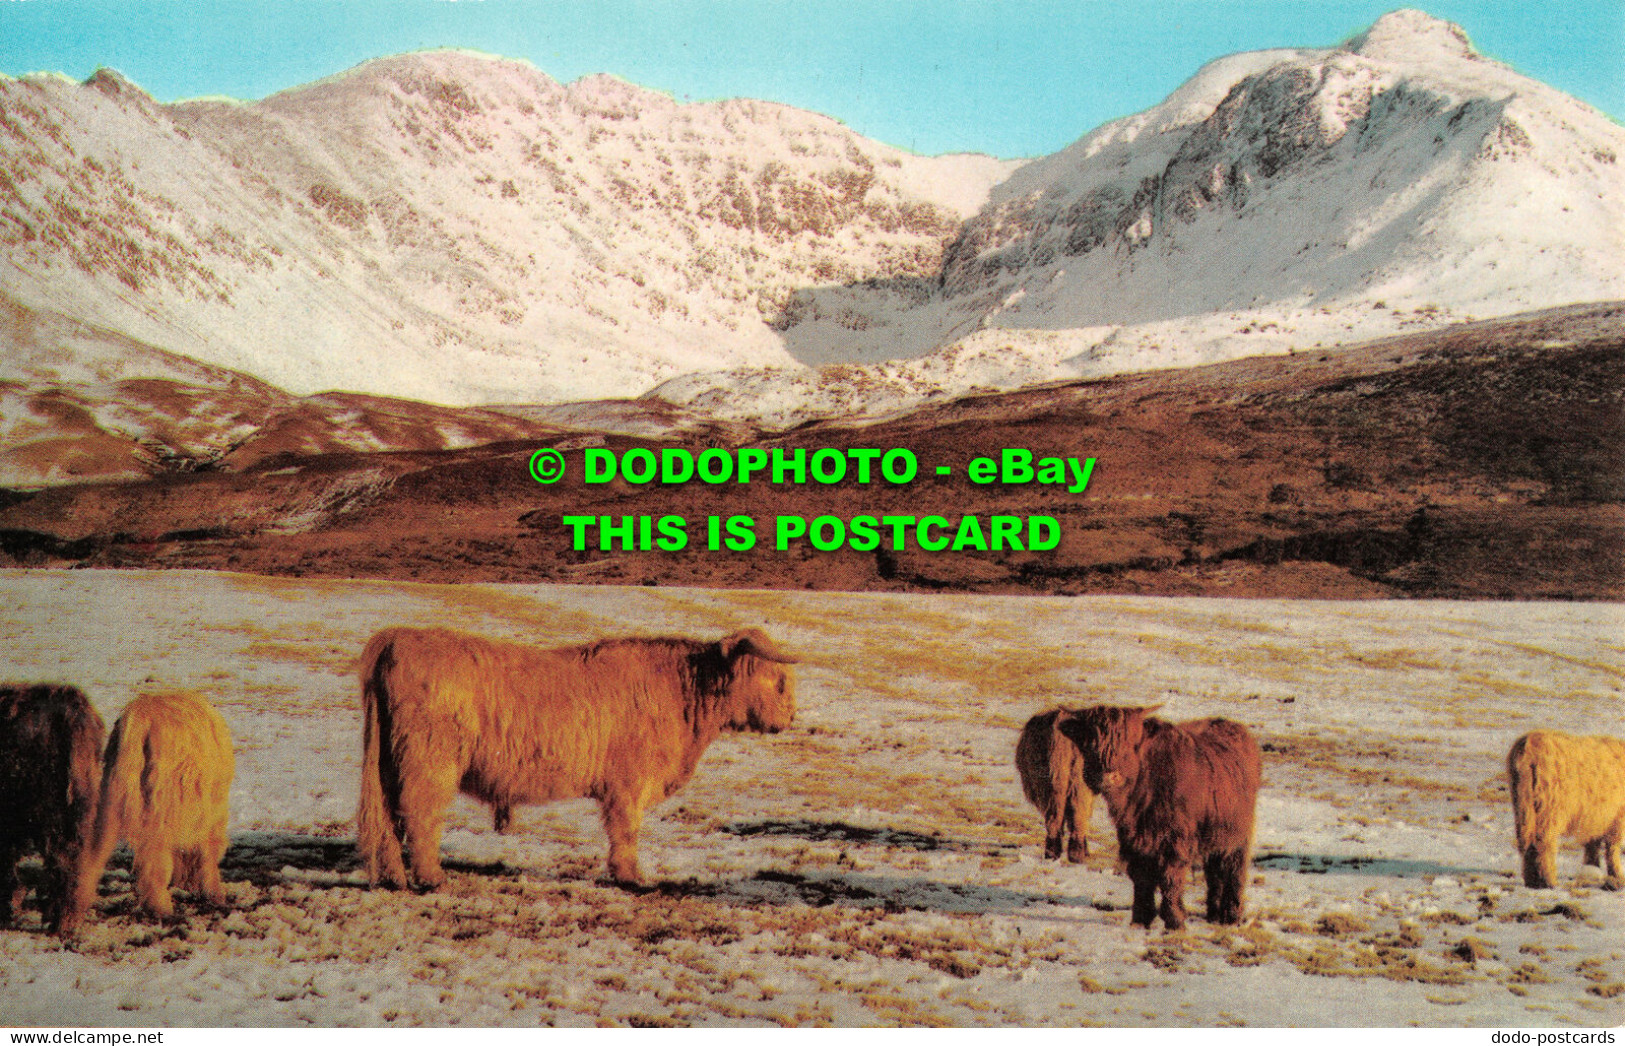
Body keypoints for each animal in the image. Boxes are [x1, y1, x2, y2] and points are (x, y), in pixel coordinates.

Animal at [77, 691, 237, 922]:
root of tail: (140, 712)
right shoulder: (213, 811)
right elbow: (209, 851)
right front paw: (214, 892)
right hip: (161, 802)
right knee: (155, 854)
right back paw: (161, 907)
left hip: (111, 792)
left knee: (96, 849)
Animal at [1014, 708, 1105, 864]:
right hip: (1077, 783)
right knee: (1077, 816)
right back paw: (1077, 854)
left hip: (1052, 785)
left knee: (1055, 818)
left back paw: (1053, 854)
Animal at [1059, 708, 1261, 929]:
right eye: (1089, 743)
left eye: (1127, 743)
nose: (1106, 777)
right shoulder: (1134, 839)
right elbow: (1141, 877)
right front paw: (1141, 919)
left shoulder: (1175, 839)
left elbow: (1170, 876)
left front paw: (1175, 919)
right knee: (1214, 872)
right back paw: (1214, 914)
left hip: (1238, 835)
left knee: (1235, 870)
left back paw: (1232, 916)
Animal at [1501, 727, 1618, 890]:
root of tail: (1528, 745)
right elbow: (1612, 847)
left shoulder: (1595, 818)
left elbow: (1593, 846)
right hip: (1549, 805)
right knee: (1543, 842)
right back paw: (1549, 881)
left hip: (1523, 804)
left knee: (1528, 841)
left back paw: (1532, 881)